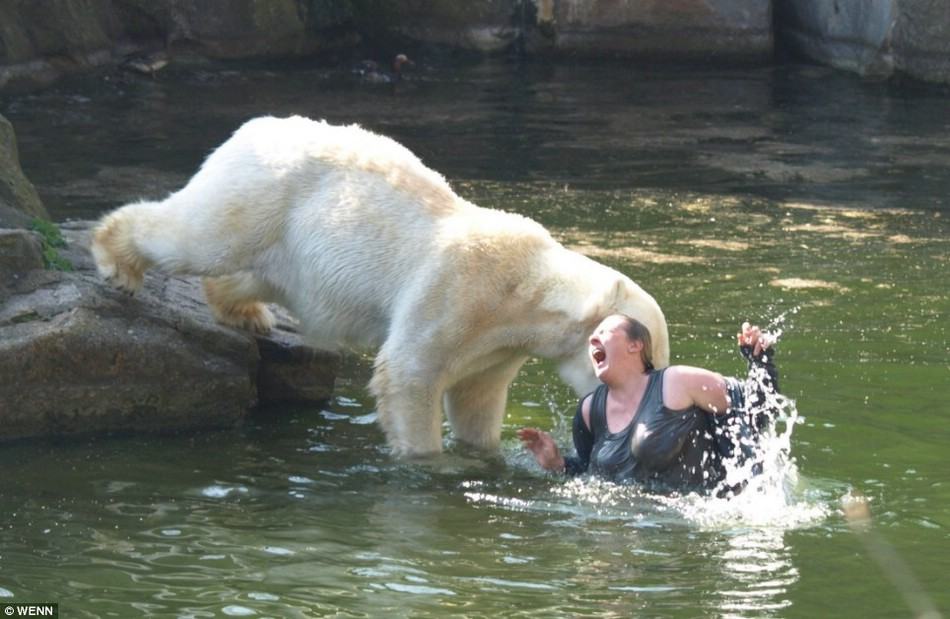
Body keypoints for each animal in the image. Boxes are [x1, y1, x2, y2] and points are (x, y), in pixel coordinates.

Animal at [91, 115, 668, 456]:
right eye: (649, 356)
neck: (526, 289)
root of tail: (251, 127)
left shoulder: (498, 347)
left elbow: (476, 398)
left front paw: (483, 455)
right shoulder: (458, 291)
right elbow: (409, 371)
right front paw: (426, 461)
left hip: (290, 244)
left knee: (256, 273)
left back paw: (246, 312)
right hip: (262, 192)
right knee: (199, 235)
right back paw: (117, 261)